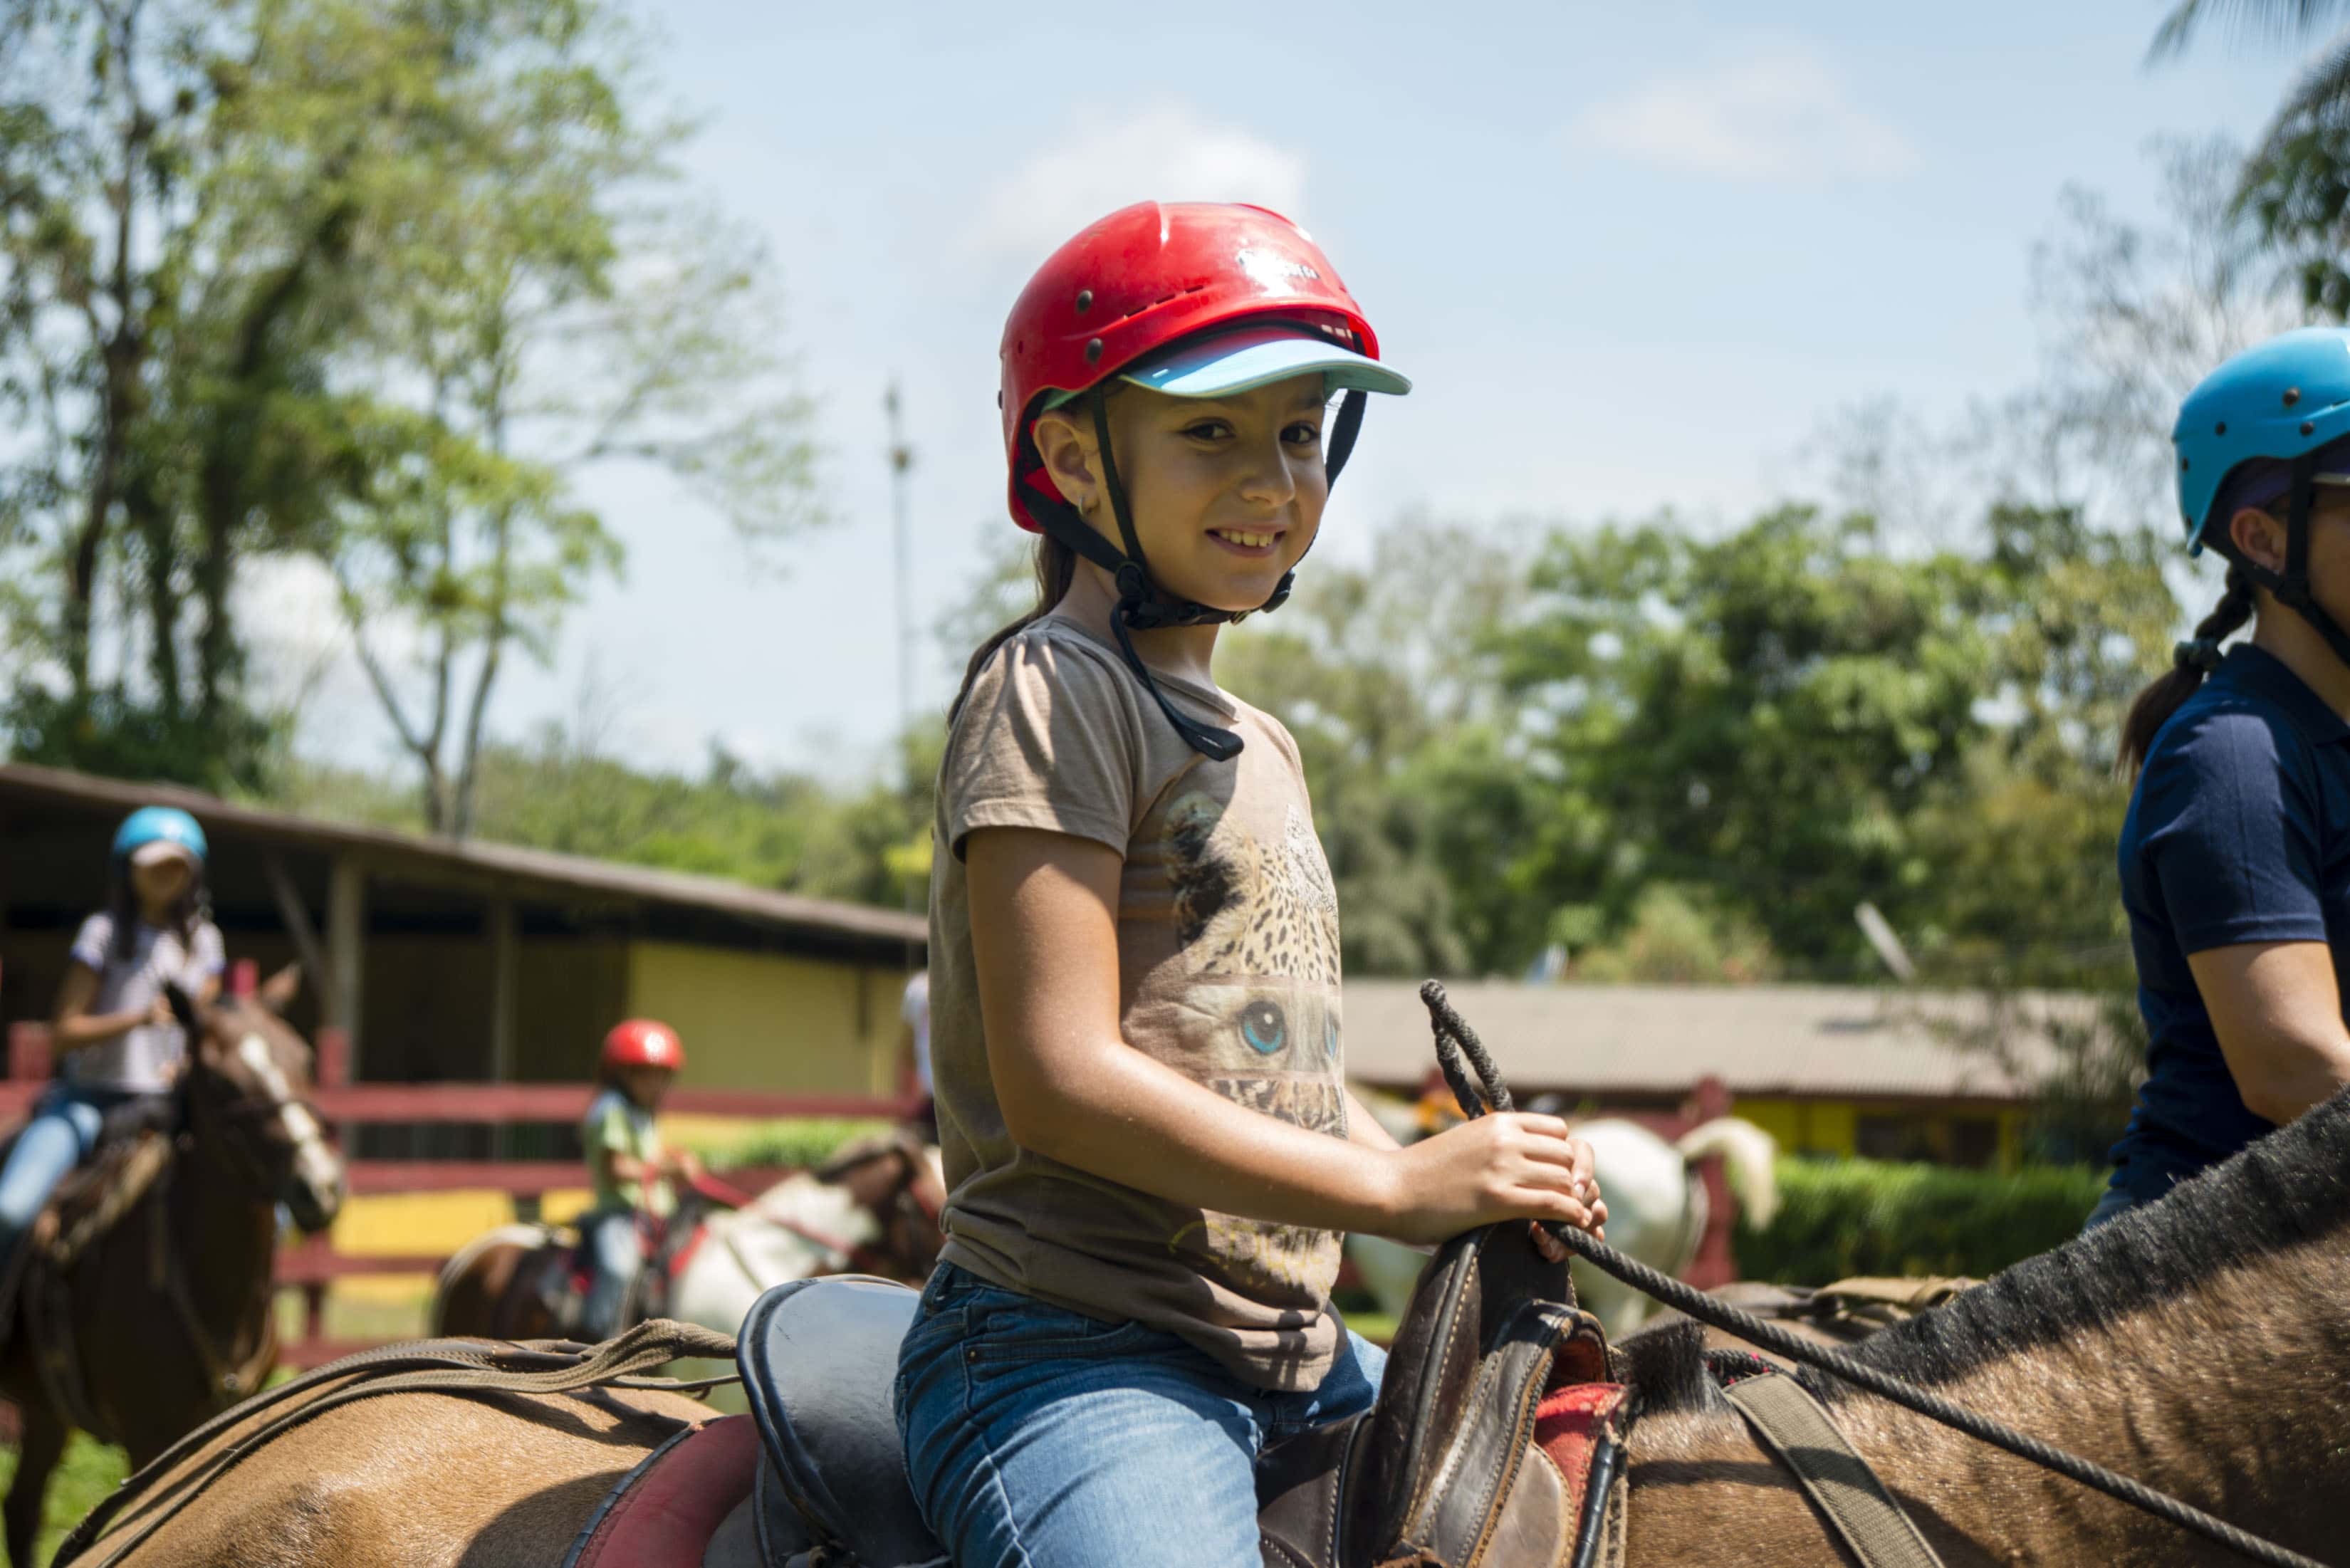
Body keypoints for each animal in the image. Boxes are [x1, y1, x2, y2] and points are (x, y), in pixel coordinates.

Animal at [2, 992, 343, 1568]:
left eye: (303, 1057)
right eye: (221, 1080)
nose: (320, 1185)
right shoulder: (149, 1435)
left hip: (46, 1411)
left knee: (22, 1507)